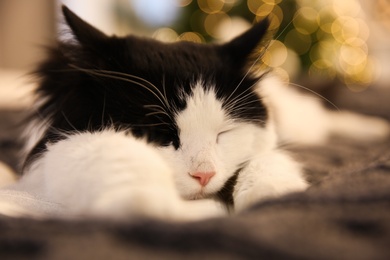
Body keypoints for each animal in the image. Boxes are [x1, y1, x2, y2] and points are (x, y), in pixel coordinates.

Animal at [2, 6, 386, 220]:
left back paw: (375, 128)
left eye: (223, 134)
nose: (203, 175)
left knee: (326, 117)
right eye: (158, 135)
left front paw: (274, 198)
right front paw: (150, 206)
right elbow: (118, 161)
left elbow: (269, 162)